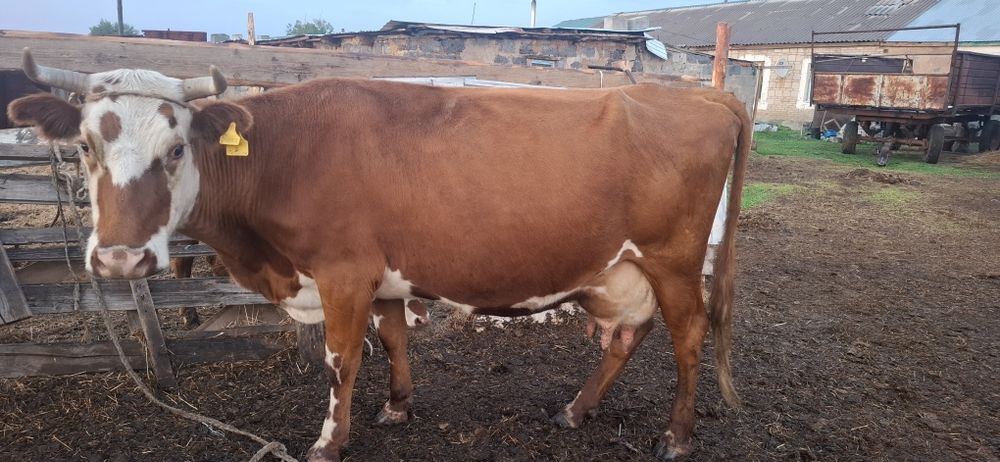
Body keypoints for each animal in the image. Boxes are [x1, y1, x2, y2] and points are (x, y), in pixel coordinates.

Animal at [7, 49, 749, 461]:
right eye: (84, 147)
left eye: (175, 149)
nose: (120, 262)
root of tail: (705, 94)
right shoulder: (385, 275)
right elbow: (393, 336)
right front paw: (397, 407)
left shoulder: (343, 273)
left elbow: (342, 359)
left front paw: (327, 442)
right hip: (620, 269)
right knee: (627, 334)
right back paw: (575, 410)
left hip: (674, 259)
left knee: (688, 335)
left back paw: (677, 437)